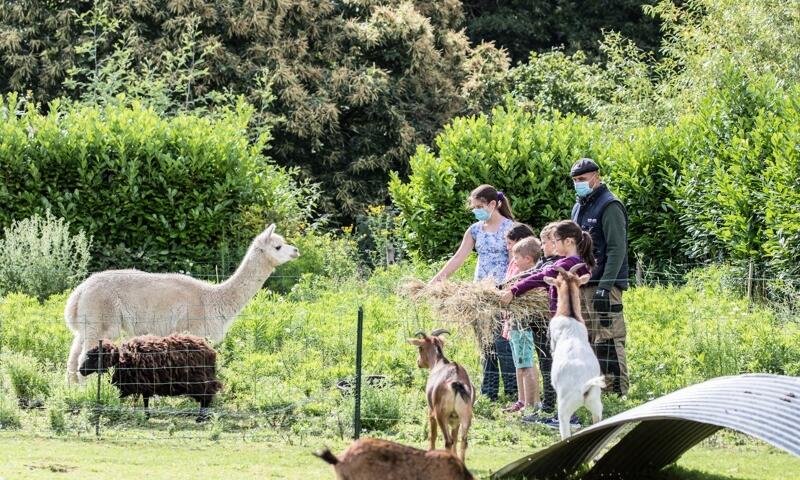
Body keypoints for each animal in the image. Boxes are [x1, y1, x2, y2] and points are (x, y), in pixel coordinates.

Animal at [406, 330, 476, 462]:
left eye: (420, 347)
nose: (418, 362)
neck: (440, 363)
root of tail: (456, 382)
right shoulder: (455, 420)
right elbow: (455, 438)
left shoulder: (431, 412)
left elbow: (432, 435)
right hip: (465, 417)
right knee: (463, 441)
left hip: (441, 416)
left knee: (448, 441)